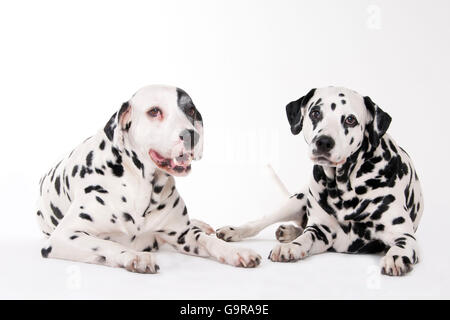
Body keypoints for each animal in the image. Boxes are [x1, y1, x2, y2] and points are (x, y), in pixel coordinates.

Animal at [37, 84, 262, 272]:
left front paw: (235, 251)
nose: (192, 136)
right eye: (154, 111)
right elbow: (106, 244)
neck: (141, 187)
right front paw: (134, 256)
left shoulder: (184, 235)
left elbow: (209, 240)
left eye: (190, 110)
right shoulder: (63, 237)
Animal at [216, 87, 424, 276]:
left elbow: (401, 246)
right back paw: (238, 231)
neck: (345, 186)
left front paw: (395, 257)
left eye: (350, 119)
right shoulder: (321, 231)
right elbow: (305, 237)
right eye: (315, 113)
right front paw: (292, 246)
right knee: (259, 223)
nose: (324, 142)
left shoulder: (402, 234)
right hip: (296, 200)